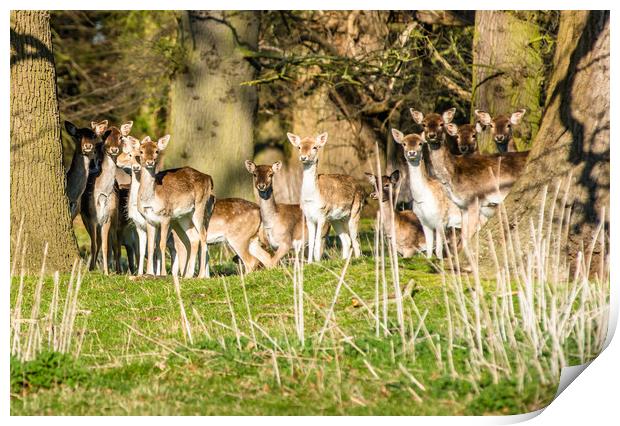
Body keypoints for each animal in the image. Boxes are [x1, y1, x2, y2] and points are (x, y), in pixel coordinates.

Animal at [135, 135, 213, 278]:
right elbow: (150, 246)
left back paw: (200, 275)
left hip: (200, 206)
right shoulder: (149, 219)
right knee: (194, 238)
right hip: (184, 216)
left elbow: (161, 244)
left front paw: (163, 274)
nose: (150, 162)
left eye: (156, 151)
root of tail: (208, 178)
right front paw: (149, 273)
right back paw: (187, 275)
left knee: (203, 235)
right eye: (141, 151)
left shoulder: (166, 216)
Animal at [286, 131, 366, 262]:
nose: (303, 157)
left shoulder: (322, 214)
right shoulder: (308, 217)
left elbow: (318, 241)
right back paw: (343, 260)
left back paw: (358, 260)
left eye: (315, 147)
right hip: (336, 219)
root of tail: (361, 187)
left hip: (356, 211)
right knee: (347, 240)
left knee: (355, 239)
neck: (312, 198)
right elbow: (311, 241)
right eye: (299, 147)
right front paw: (309, 262)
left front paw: (317, 262)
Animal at [392, 128, 460, 258]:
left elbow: (438, 250)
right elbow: (428, 249)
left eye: (420, 143)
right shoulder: (424, 222)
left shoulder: (441, 220)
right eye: (404, 143)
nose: (411, 153)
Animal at [412, 107, 528, 246]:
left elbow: (470, 237)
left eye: (441, 124)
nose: (431, 135)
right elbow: (464, 237)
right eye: (424, 124)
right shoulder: (463, 206)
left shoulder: (474, 200)